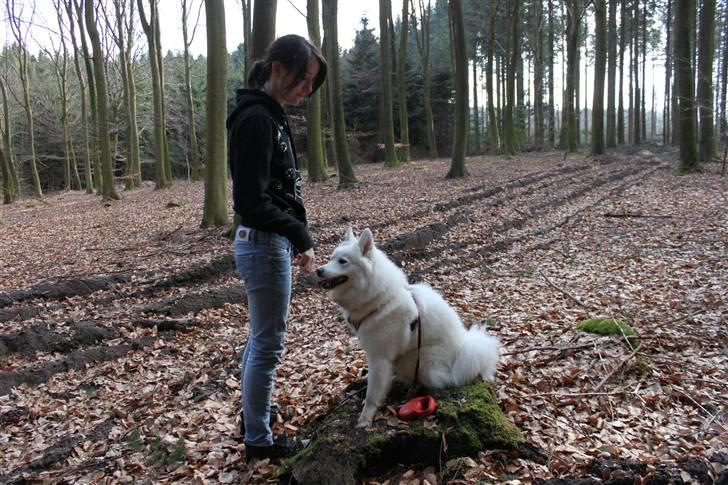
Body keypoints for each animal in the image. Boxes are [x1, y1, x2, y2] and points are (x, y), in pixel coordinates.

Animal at [316, 228, 498, 428]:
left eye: (342, 261)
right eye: (331, 258)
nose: (318, 270)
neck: (378, 299)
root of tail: (461, 350)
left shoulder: (380, 357)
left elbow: (373, 394)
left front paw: (365, 418)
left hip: (418, 359)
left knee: (439, 380)